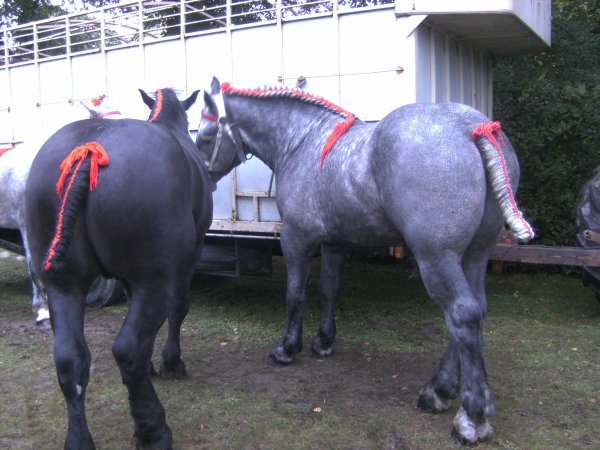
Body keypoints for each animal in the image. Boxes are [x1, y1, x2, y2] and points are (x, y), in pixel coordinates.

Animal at [24, 86, 212, 448]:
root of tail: (89, 149)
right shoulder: (186, 261)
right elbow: (179, 309)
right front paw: (171, 362)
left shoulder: (128, 278)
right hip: (155, 280)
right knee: (128, 349)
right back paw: (153, 430)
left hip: (64, 285)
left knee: (69, 358)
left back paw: (79, 438)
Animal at [196, 76, 536, 442]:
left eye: (204, 135)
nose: (201, 177)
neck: (301, 141)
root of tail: (473, 126)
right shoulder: (333, 244)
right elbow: (329, 291)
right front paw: (323, 342)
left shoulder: (296, 240)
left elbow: (295, 295)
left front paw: (286, 348)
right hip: (474, 256)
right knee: (475, 313)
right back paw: (442, 391)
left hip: (437, 258)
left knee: (463, 315)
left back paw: (469, 417)